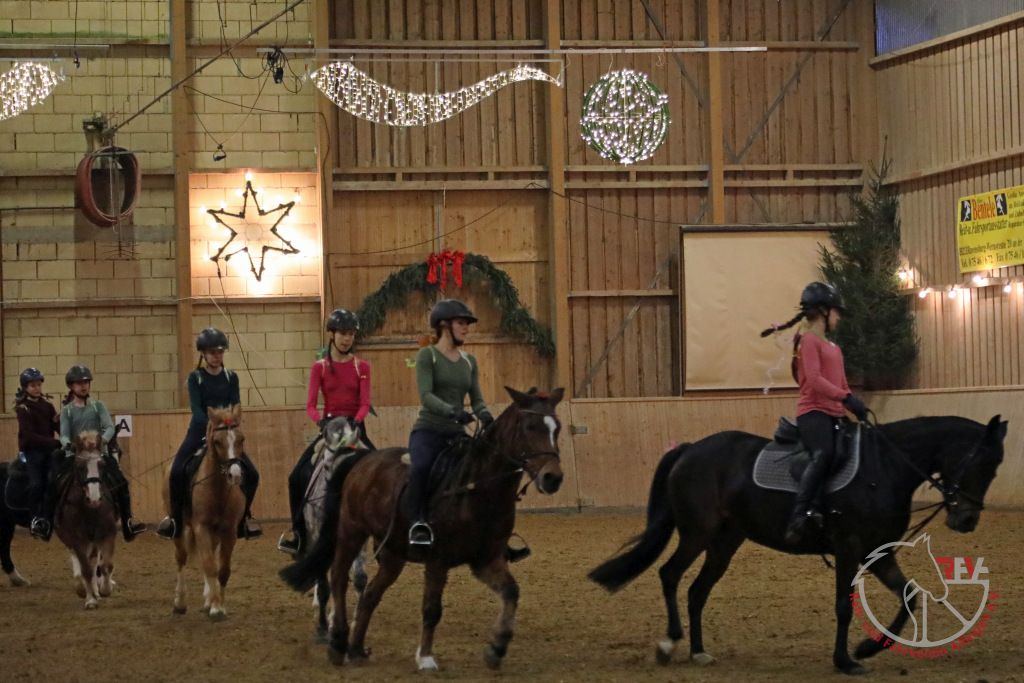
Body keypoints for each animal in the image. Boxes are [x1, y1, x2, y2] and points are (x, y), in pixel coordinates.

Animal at [55, 431, 119, 609]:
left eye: (102, 465)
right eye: (80, 467)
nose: (95, 498)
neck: (90, 509)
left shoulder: (107, 534)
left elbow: (106, 565)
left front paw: (105, 590)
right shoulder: (76, 538)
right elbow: (86, 569)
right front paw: (90, 600)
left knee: (94, 560)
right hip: (70, 538)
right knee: (79, 560)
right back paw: (83, 588)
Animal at [165, 405, 248, 620]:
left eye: (241, 439)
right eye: (217, 442)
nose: (235, 475)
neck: (218, 488)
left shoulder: (229, 531)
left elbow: (223, 570)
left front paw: (218, 604)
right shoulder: (200, 527)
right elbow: (210, 566)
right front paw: (216, 608)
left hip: (214, 533)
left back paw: (208, 599)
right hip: (180, 528)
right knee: (181, 558)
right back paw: (180, 603)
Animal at [281, 386, 565, 671]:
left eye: (557, 428)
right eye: (530, 427)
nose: (553, 478)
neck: (478, 489)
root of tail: (361, 459)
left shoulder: (486, 560)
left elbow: (511, 593)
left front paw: (497, 647)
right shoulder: (438, 561)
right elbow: (431, 610)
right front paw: (426, 657)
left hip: (393, 553)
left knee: (370, 594)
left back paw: (357, 648)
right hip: (352, 531)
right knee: (339, 578)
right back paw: (337, 642)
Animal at [589, 415, 1007, 675]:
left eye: (995, 467)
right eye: (982, 462)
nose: (966, 521)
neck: (885, 468)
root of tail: (690, 449)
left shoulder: (879, 553)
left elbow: (909, 595)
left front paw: (865, 649)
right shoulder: (849, 547)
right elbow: (843, 607)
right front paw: (845, 661)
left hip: (725, 541)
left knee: (697, 591)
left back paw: (698, 652)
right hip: (697, 534)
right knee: (670, 575)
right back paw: (669, 644)